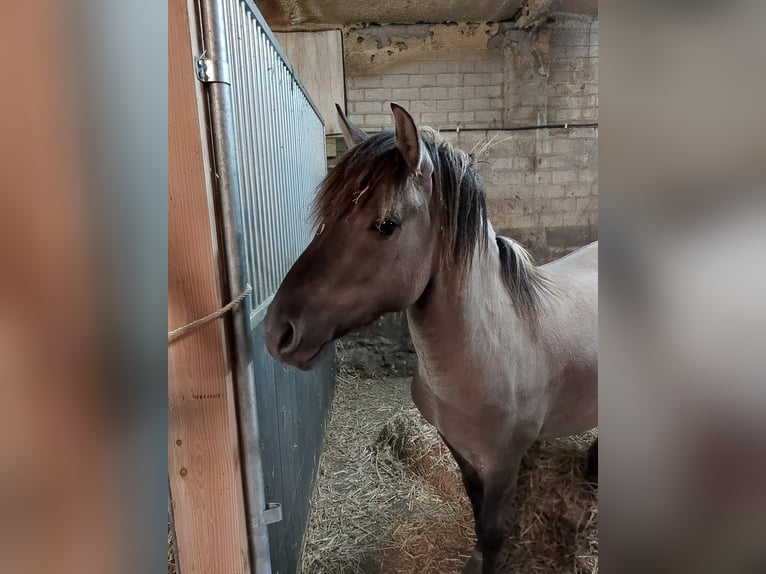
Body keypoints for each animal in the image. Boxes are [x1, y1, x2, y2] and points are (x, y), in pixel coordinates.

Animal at [264, 101, 600, 572]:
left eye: (385, 224)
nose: (278, 330)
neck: (486, 353)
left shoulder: (504, 463)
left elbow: (493, 530)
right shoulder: (459, 449)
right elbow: (476, 509)